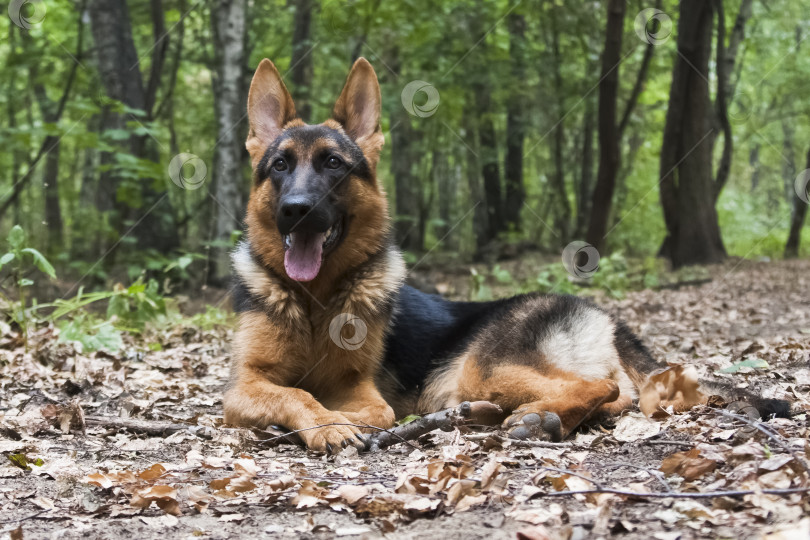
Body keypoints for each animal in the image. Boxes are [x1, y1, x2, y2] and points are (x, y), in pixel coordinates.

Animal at [221, 58, 784, 452]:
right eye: (279, 166)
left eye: (333, 164)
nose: (296, 211)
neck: (314, 300)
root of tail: (601, 315)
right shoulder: (243, 386)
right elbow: (296, 393)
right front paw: (323, 419)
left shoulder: (359, 389)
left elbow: (363, 409)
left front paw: (333, 421)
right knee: (618, 394)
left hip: (482, 369)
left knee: (600, 386)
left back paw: (534, 418)